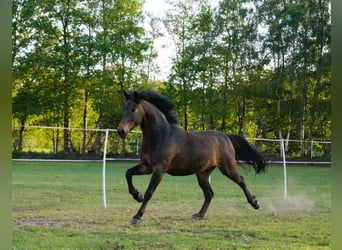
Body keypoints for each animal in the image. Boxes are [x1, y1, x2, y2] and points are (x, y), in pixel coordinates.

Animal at [117, 89, 268, 225]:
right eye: (123, 109)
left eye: (133, 109)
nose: (121, 131)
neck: (160, 135)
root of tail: (225, 137)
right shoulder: (147, 166)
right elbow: (128, 173)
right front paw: (137, 195)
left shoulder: (160, 168)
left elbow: (149, 192)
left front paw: (136, 216)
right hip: (203, 174)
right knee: (209, 194)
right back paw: (199, 215)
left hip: (227, 167)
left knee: (241, 181)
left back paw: (255, 203)